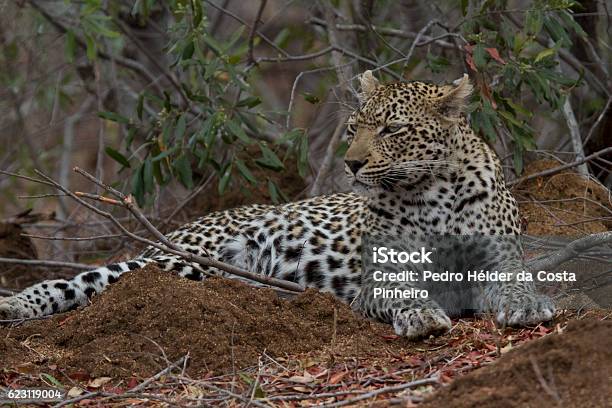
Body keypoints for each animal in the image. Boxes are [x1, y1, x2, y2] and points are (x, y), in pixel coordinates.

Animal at [0, 72, 556, 338]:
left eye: (392, 130)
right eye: (353, 129)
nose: (351, 164)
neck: (431, 192)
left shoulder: (499, 258)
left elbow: (516, 281)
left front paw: (528, 306)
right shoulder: (382, 276)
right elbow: (402, 293)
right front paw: (421, 316)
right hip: (186, 260)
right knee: (97, 281)